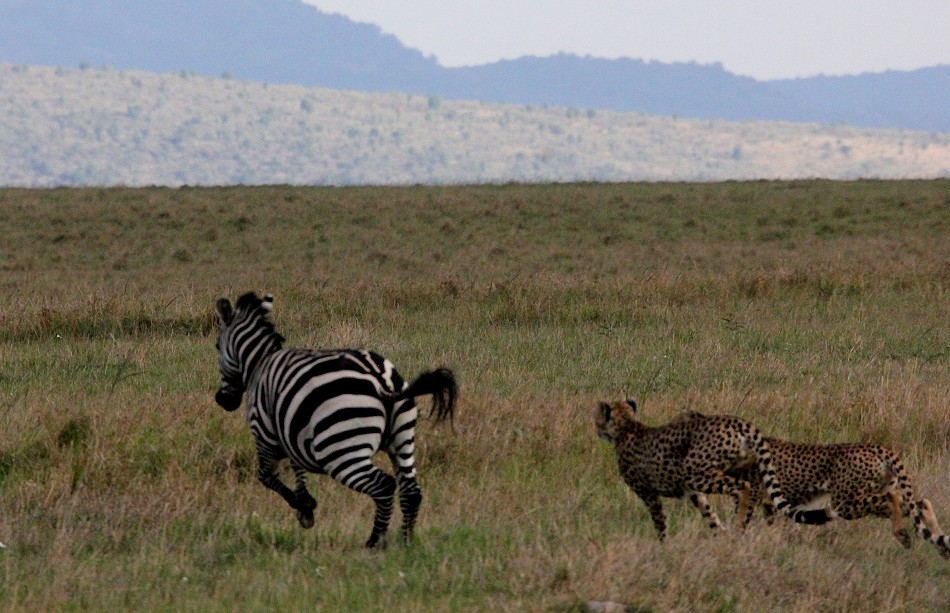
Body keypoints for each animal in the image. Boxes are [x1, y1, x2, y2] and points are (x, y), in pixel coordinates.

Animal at [215, 290, 458, 548]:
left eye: (217, 346)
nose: (222, 400)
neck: (259, 364)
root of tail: (381, 380)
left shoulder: (264, 434)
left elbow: (266, 476)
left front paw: (303, 506)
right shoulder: (294, 433)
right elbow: (298, 470)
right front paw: (305, 507)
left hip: (341, 450)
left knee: (384, 485)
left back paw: (374, 542)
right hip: (402, 439)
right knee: (411, 491)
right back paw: (406, 543)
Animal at [596, 396, 832, 536]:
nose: (597, 431)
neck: (627, 427)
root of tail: (739, 421)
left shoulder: (648, 493)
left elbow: (659, 521)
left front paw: (663, 544)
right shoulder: (693, 492)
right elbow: (707, 511)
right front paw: (718, 531)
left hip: (694, 471)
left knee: (743, 489)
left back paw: (739, 521)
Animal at [732, 430, 948, 560]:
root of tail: (876, 447)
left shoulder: (753, 496)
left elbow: (742, 519)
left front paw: (738, 541)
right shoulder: (769, 505)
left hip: (845, 502)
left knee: (893, 498)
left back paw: (902, 533)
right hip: (869, 495)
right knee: (920, 503)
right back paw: (941, 546)